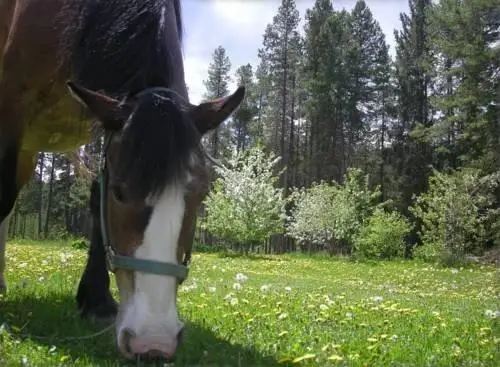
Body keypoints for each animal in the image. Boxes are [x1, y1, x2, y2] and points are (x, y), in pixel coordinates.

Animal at [0, 0, 243, 362]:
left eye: (201, 197)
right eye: (119, 193)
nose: (154, 343)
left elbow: (93, 198)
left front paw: (96, 300)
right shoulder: (12, 103)